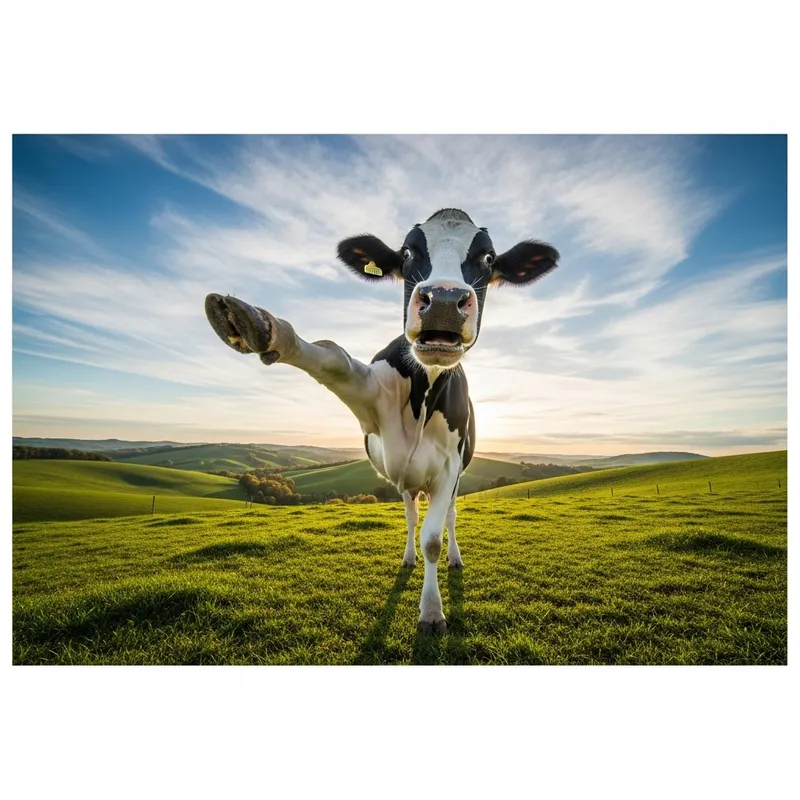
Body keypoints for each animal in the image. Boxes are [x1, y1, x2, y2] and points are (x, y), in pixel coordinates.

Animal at [205, 208, 559, 633]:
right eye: (407, 252)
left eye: (488, 258)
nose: (443, 300)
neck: (424, 392)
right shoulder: (371, 403)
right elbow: (333, 359)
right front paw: (256, 325)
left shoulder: (449, 468)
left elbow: (434, 539)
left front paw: (431, 611)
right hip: (406, 480)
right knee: (409, 515)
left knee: (449, 518)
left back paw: (454, 558)